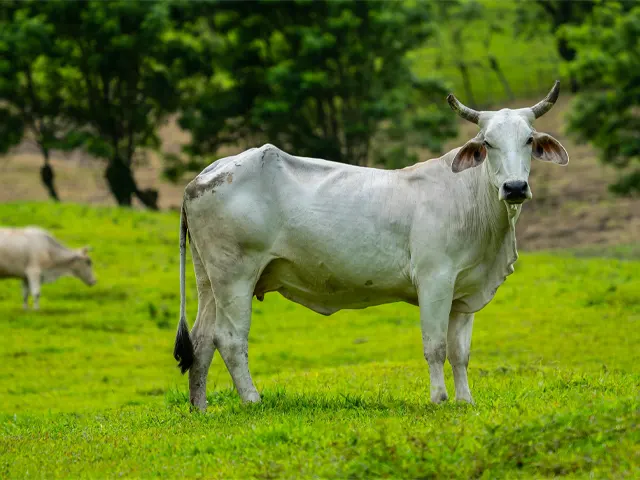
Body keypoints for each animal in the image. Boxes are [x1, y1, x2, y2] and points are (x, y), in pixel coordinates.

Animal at [172, 80, 568, 410]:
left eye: (529, 140)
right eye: (487, 143)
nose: (514, 187)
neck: (470, 199)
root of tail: (204, 175)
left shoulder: (465, 292)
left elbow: (460, 353)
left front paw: (464, 401)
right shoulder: (435, 280)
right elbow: (436, 346)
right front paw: (439, 399)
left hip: (210, 280)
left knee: (202, 340)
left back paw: (200, 408)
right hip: (235, 277)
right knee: (229, 339)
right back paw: (252, 400)